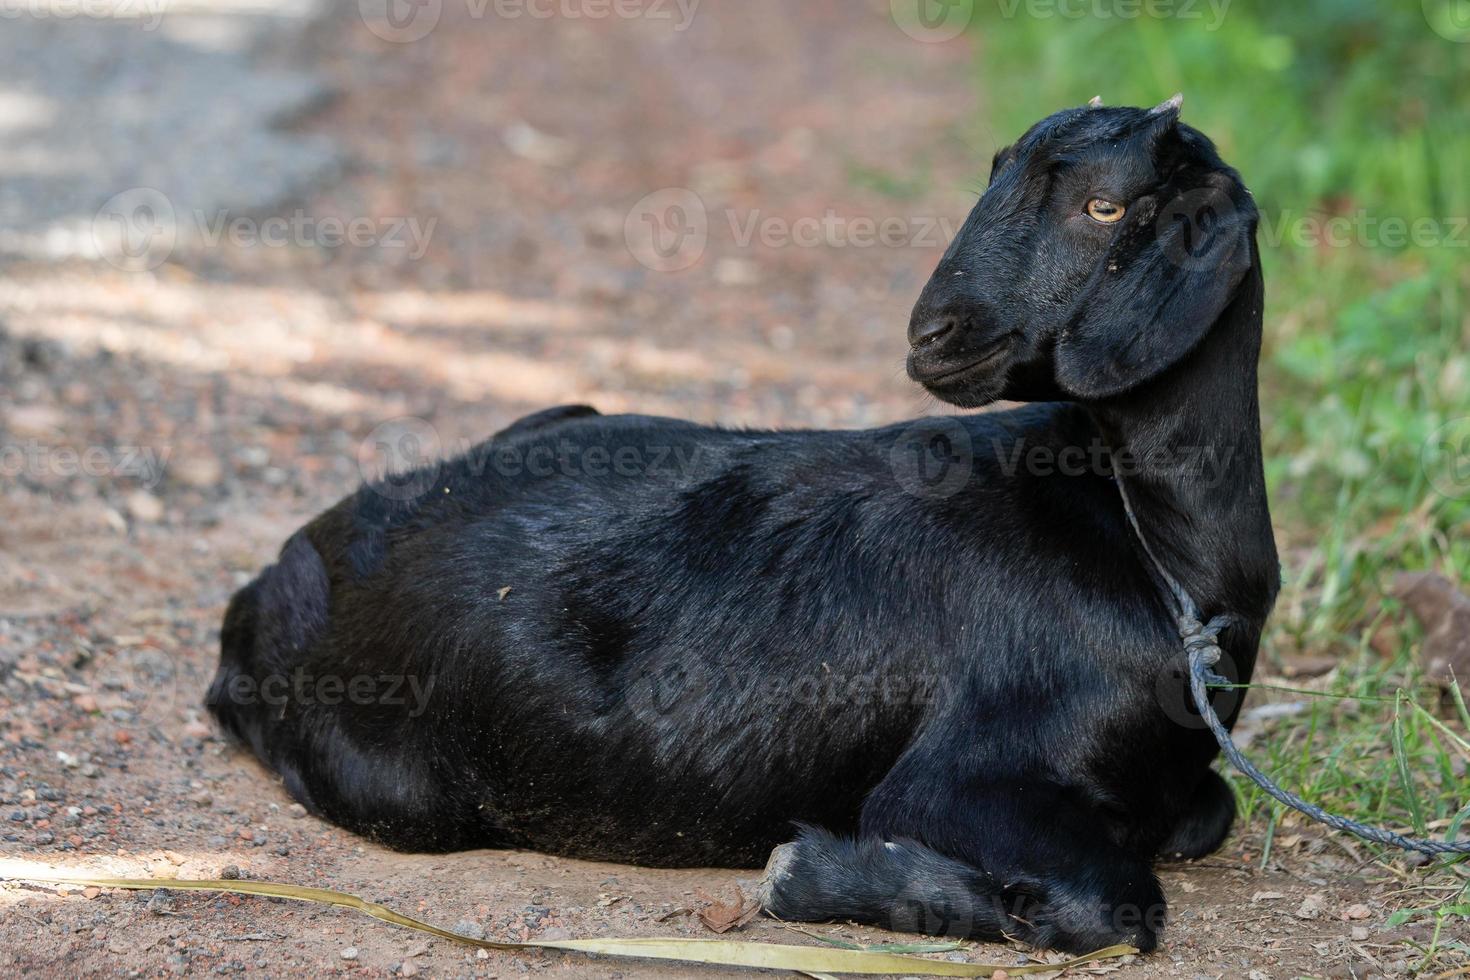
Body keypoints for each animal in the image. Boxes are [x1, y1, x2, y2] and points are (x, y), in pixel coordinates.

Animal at [204, 95, 1275, 952]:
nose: (932, 335)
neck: (1162, 559)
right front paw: (810, 873)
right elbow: (1111, 902)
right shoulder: (963, 774)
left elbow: (1206, 813)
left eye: (1105, 206)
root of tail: (269, 592)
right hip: (405, 792)